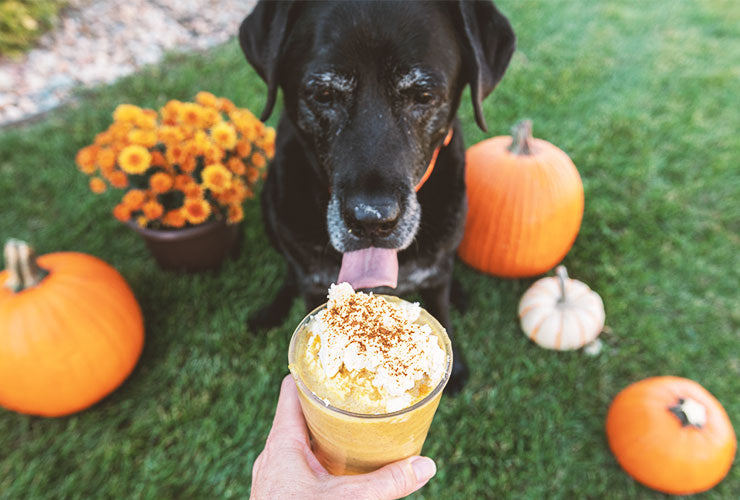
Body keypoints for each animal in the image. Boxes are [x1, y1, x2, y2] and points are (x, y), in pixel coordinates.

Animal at [238, 0, 516, 390]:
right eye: (324, 95)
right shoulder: (313, 283)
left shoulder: (435, 273)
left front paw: (454, 365)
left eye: (423, 96)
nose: (371, 221)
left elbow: (440, 306)